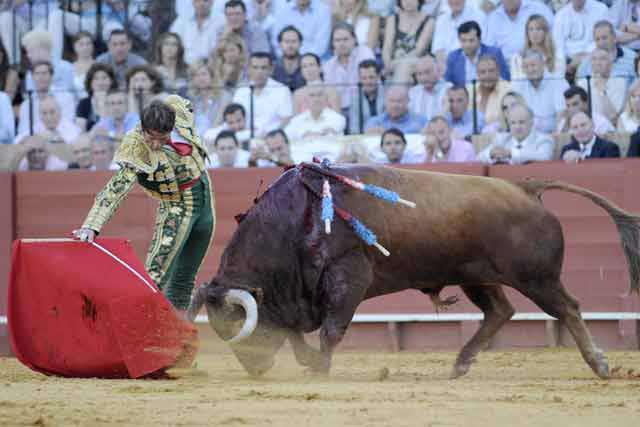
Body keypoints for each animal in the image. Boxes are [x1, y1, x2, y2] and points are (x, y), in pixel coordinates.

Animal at [186, 164, 640, 378]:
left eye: (236, 323)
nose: (255, 369)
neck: (298, 220)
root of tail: (526, 188)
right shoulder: (301, 295)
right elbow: (298, 334)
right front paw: (310, 362)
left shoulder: (349, 278)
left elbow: (331, 330)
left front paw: (321, 369)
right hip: (476, 276)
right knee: (500, 311)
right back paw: (460, 364)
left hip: (537, 278)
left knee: (568, 308)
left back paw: (599, 364)